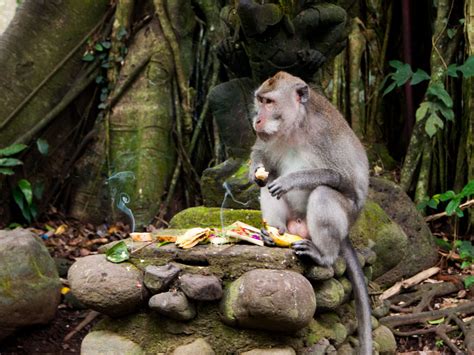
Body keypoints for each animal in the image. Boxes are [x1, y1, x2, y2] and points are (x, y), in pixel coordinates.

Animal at [250, 71, 372, 354]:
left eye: (270, 102)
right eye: (260, 100)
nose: (256, 119)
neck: (296, 127)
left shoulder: (325, 135)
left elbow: (344, 180)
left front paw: (293, 180)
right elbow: (262, 159)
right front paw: (254, 172)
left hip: (344, 220)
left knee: (324, 193)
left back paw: (323, 255)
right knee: (269, 184)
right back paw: (275, 233)